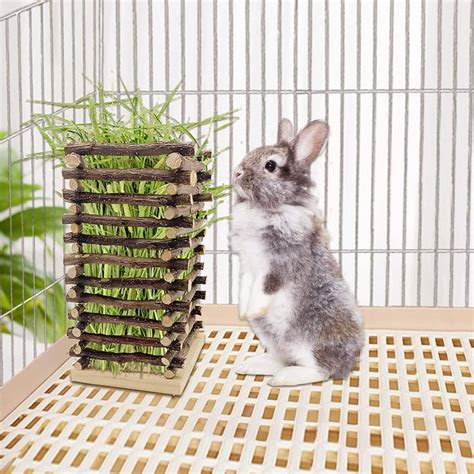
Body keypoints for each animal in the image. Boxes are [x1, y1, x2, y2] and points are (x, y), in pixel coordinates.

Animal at [231, 117, 364, 386]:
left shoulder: (279, 264)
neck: (265, 208)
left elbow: (263, 288)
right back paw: (252, 365)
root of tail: (349, 363)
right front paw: (242, 310)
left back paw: (284, 378)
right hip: (271, 338)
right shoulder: (247, 265)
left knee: (321, 371)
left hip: (312, 339)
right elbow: (245, 287)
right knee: (281, 358)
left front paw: (252, 309)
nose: (236, 173)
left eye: (270, 165)